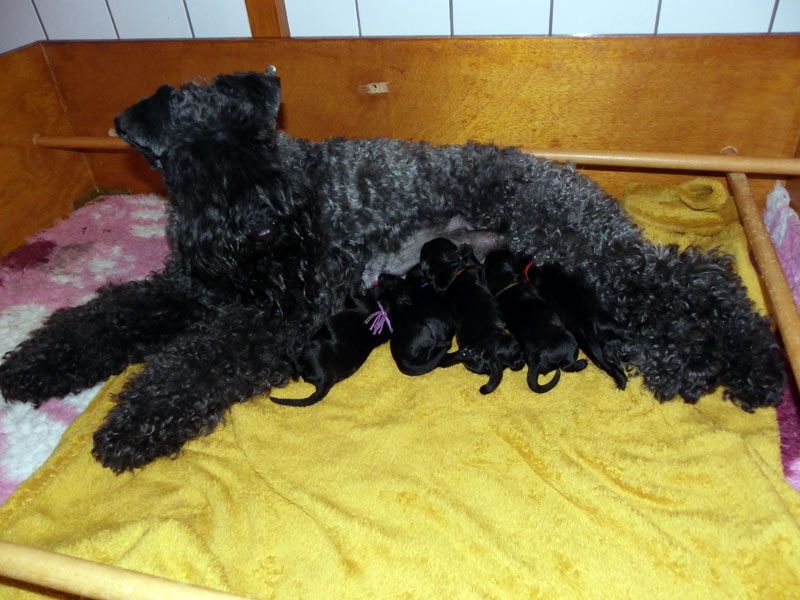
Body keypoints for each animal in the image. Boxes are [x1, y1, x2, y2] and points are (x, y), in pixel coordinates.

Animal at [418, 237, 524, 396]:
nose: (425, 243)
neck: (451, 275)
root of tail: (487, 356)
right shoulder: (478, 269)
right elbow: (476, 261)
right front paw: (466, 248)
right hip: (510, 342)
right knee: (515, 364)